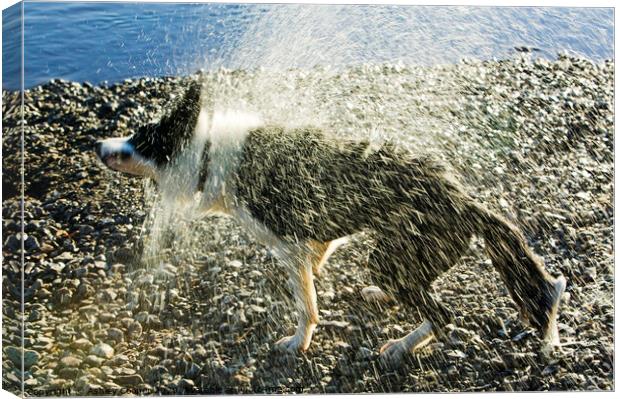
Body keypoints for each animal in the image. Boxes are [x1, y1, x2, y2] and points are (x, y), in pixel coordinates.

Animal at [95, 79, 568, 368]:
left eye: (140, 141)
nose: (99, 144)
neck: (208, 150)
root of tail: (468, 203)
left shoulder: (287, 244)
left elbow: (307, 305)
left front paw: (297, 342)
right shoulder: (311, 233)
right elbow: (321, 255)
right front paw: (321, 269)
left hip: (391, 255)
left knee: (441, 313)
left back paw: (399, 346)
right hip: (402, 254)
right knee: (419, 291)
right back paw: (384, 298)